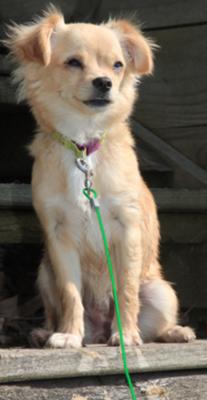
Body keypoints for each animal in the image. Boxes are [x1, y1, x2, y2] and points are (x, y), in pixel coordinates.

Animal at [5, 7, 196, 348]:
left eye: (118, 65)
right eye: (73, 62)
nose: (105, 82)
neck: (83, 146)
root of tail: (97, 331)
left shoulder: (127, 230)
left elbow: (126, 291)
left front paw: (125, 335)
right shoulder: (59, 238)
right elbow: (70, 294)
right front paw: (69, 334)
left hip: (161, 291)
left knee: (157, 325)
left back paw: (175, 332)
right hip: (44, 273)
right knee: (58, 307)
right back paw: (48, 332)